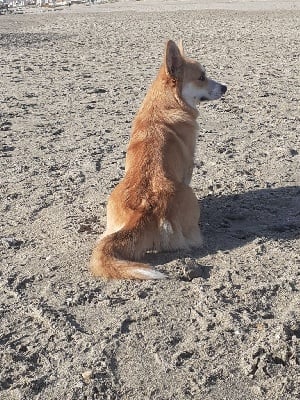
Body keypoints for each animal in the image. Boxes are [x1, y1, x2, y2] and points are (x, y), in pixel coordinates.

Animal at [90, 39, 226, 278]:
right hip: (189, 196)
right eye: (201, 77)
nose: (225, 87)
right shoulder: (188, 168)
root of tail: (146, 210)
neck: (167, 102)